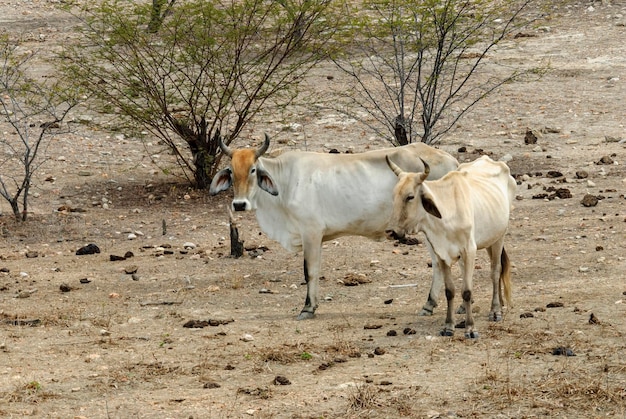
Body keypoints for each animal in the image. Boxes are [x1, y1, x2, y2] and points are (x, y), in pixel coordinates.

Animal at [210, 136, 458, 320]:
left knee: (439, 263)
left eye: (253, 170)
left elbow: (309, 271)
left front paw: (307, 308)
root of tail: (451, 160)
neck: (286, 181)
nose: (239, 204)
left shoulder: (310, 233)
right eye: (231, 171)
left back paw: (431, 304)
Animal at [386, 154, 512, 338]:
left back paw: (495, 310)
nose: (391, 231)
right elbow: (450, 291)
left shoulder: (469, 250)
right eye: (393, 195)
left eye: (410, 197)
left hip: (499, 237)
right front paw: (448, 326)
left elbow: (466, 291)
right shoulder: (442, 253)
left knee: (495, 272)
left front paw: (470, 328)